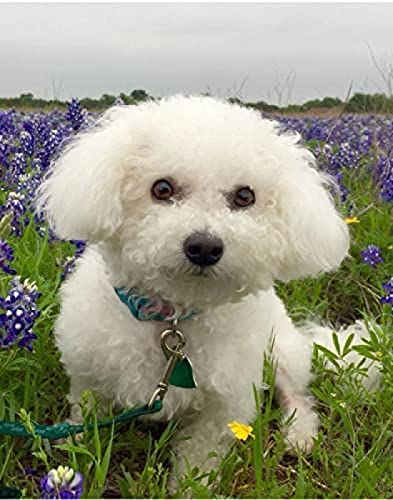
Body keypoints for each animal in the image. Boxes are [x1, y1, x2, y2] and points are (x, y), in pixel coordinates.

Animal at [37, 94, 376, 480]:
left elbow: (198, 461)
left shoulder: (223, 408)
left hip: (282, 352)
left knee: (297, 395)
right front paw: (72, 456)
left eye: (245, 196)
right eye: (162, 189)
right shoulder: (89, 379)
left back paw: (299, 436)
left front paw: (185, 486)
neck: (173, 320)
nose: (203, 247)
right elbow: (87, 424)